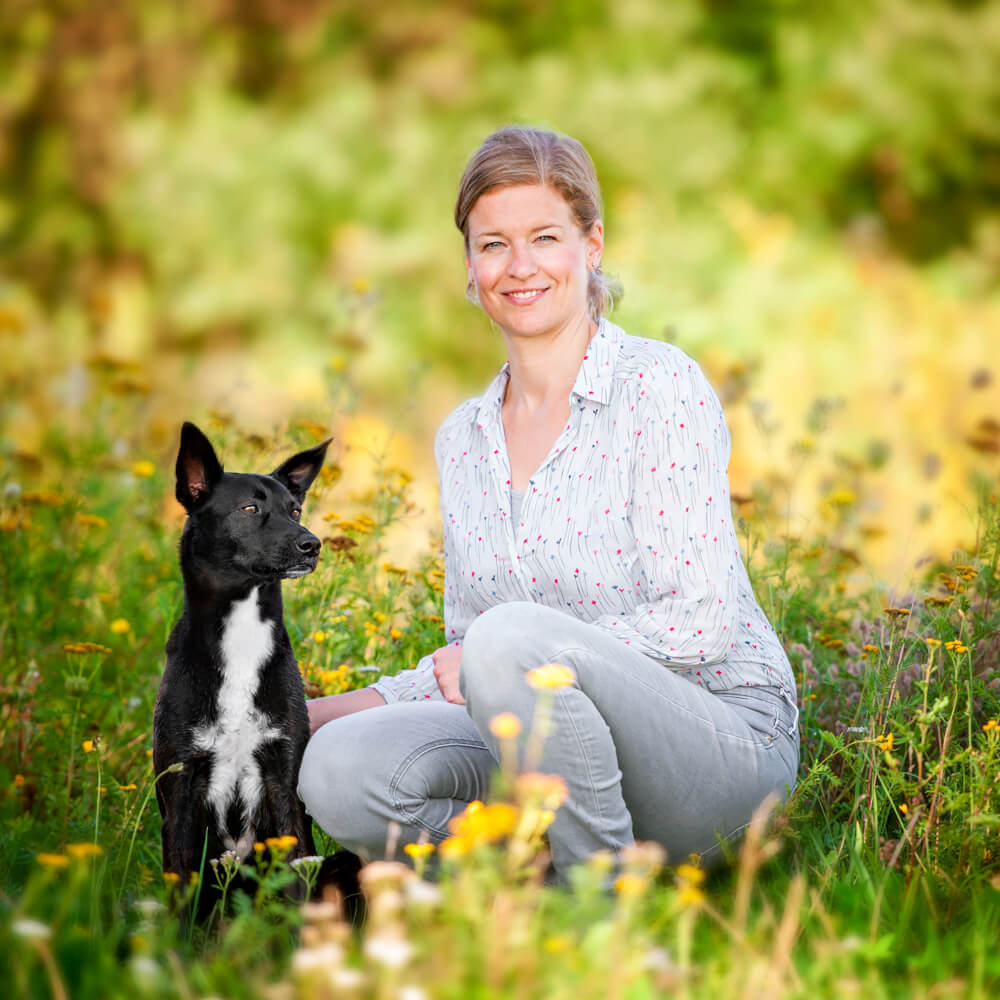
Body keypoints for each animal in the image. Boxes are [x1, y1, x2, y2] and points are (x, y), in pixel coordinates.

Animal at [152, 420, 360, 920]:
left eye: (295, 508)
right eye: (250, 509)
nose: (312, 544)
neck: (242, 638)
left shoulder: (284, 782)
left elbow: (297, 884)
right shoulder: (181, 789)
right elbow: (179, 886)